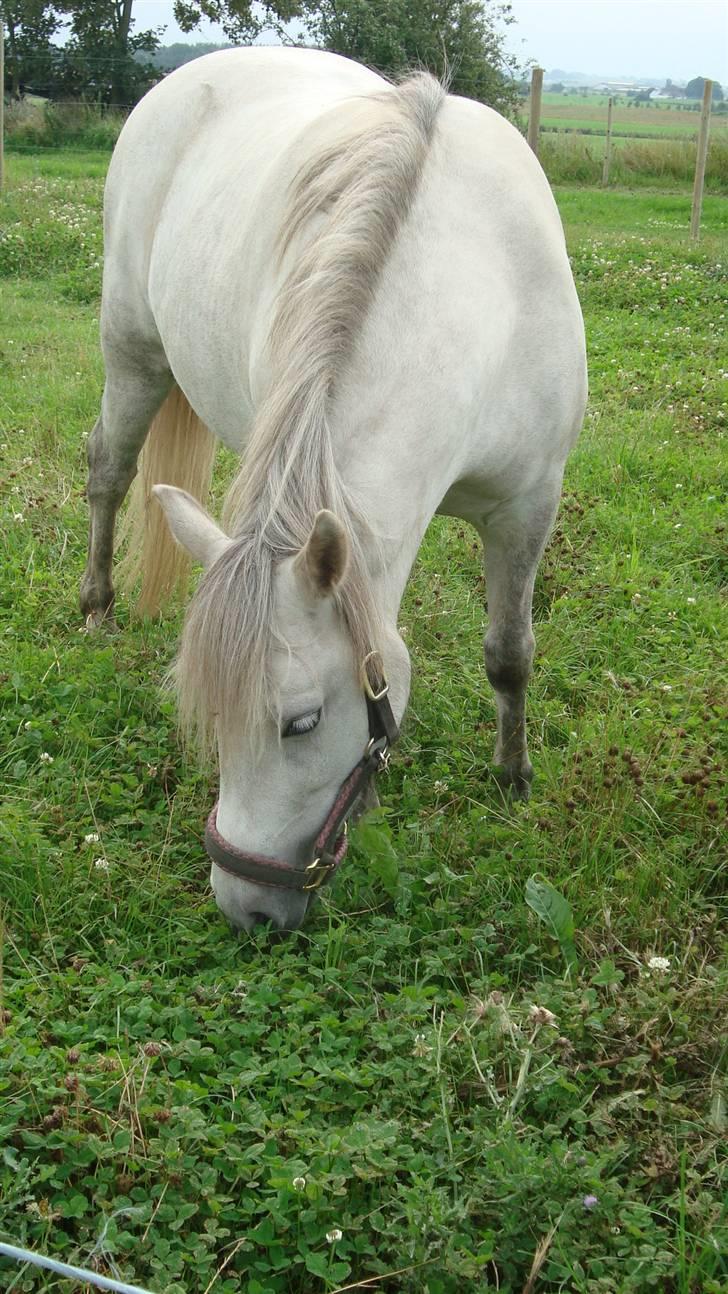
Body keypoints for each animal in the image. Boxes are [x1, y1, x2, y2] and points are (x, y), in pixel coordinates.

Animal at [81, 47, 587, 931]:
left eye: (301, 723)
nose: (243, 908)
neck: (479, 289)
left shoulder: (527, 506)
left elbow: (510, 654)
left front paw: (513, 777)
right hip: (133, 352)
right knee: (109, 471)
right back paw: (97, 605)